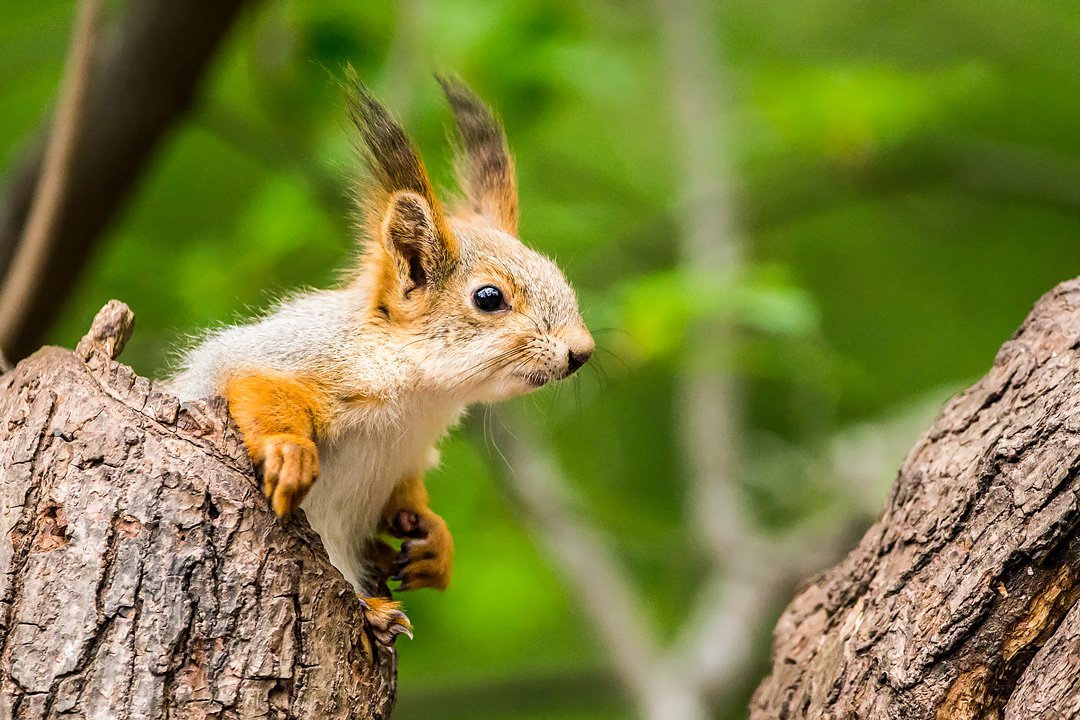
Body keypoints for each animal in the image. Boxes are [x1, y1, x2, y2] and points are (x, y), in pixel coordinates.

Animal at [164, 74, 596, 647]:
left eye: (556, 273)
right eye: (488, 298)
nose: (582, 351)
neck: (423, 396)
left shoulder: (407, 458)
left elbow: (409, 499)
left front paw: (435, 541)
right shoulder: (294, 354)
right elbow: (254, 381)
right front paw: (288, 452)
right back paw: (372, 611)